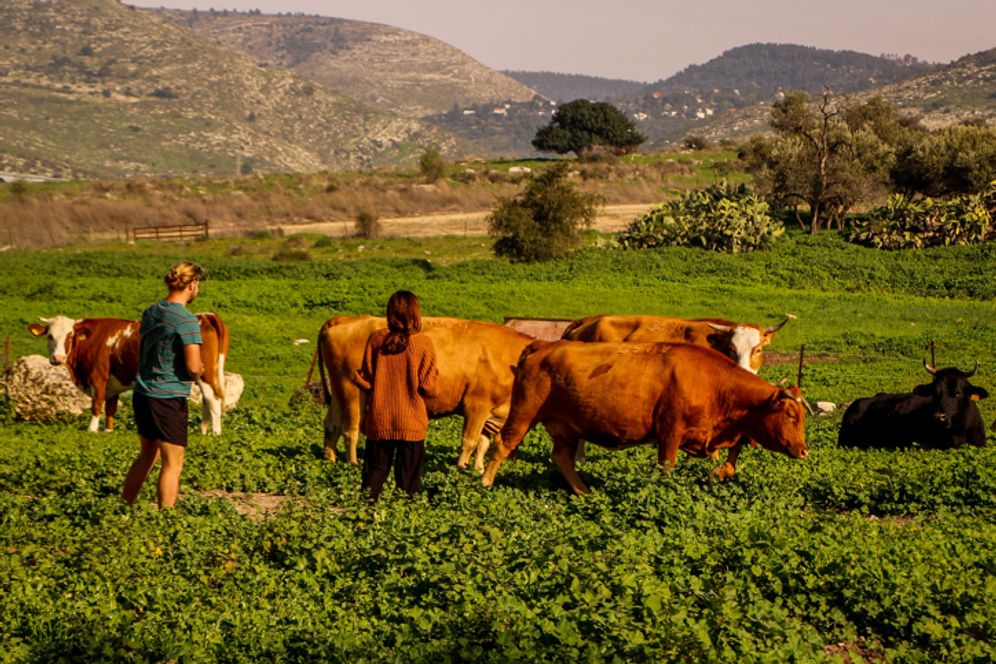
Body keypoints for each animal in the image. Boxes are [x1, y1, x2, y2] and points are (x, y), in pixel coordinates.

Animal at [27, 312, 229, 434]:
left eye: (70, 336)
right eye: (50, 336)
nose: (58, 358)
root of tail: (205, 315)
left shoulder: (98, 376)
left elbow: (97, 404)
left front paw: (92, 429)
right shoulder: (112, 384)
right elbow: (110, 408)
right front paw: (108, 431)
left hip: (204, 373)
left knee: (213, 398)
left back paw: (215, 433)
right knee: (207, 399)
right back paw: (203, 431)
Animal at [316, 315, 533, 470]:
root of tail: (348, 319)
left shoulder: (493, 413)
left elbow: (483, 444)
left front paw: (478, 470)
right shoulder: (477, 405)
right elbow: (470, 441)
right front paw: (461, 468)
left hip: (338, 388)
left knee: (332, 424)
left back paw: (330, 459)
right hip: (352, 390)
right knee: (350, 429)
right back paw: (353, 463)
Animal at [481, 340, 809, 494]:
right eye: (790, 414)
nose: (804, 451)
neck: (716, 383)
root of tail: (543, 346)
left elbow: (730, 462)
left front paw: (717, 474)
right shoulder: (670, 432)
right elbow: (667, 467)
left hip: (566, 427)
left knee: (561, 459)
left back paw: (585, 492)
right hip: (524, 412)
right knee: (503, 444)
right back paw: (485, 481)